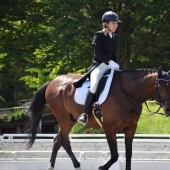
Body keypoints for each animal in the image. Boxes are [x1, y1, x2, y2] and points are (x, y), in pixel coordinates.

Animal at [25, 65, 170, 170]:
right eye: (160, 85)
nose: (168, 110)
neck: (128, 93)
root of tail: (52, 82)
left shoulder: (131, 127)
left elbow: (128, 154)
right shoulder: (109, 127)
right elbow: (114, 155)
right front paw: (101, 167)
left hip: (70, 119)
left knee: (58, 140)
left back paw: (61, 166)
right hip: (64, 118)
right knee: (63, 140)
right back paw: (71, 165)